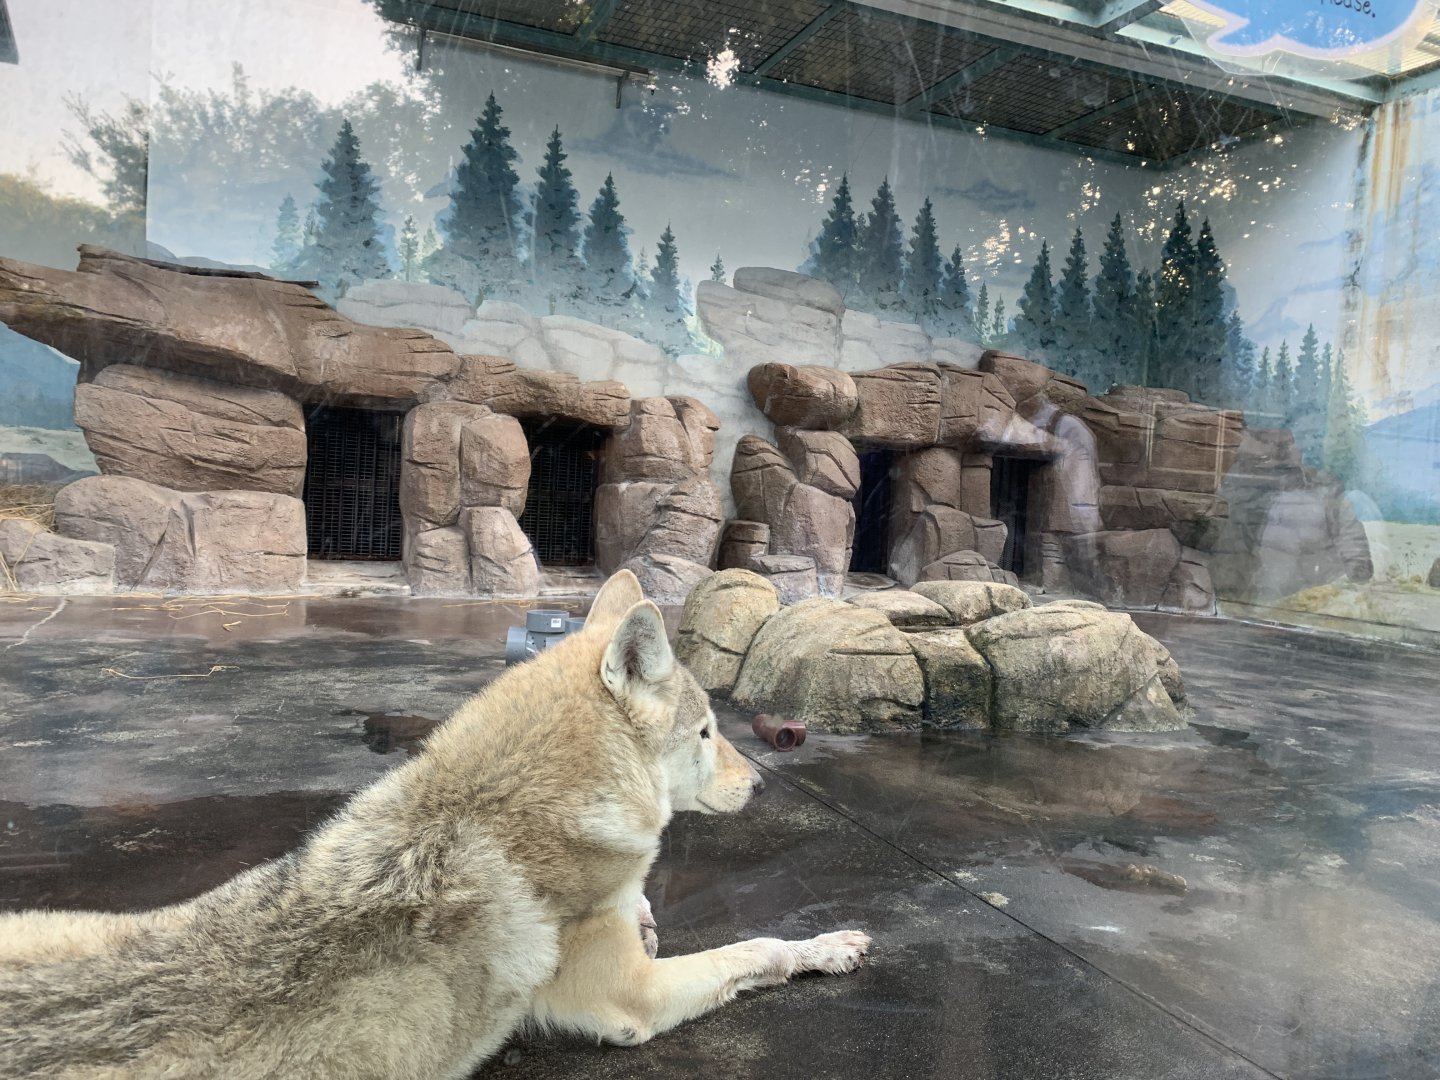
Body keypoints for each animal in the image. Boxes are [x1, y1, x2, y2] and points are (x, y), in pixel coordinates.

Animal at [0, 570, 870, 1078]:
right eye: (707, 733)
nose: (759, 781)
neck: (495, 810)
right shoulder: (635, 999)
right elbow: (758, 946)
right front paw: (826, 947)